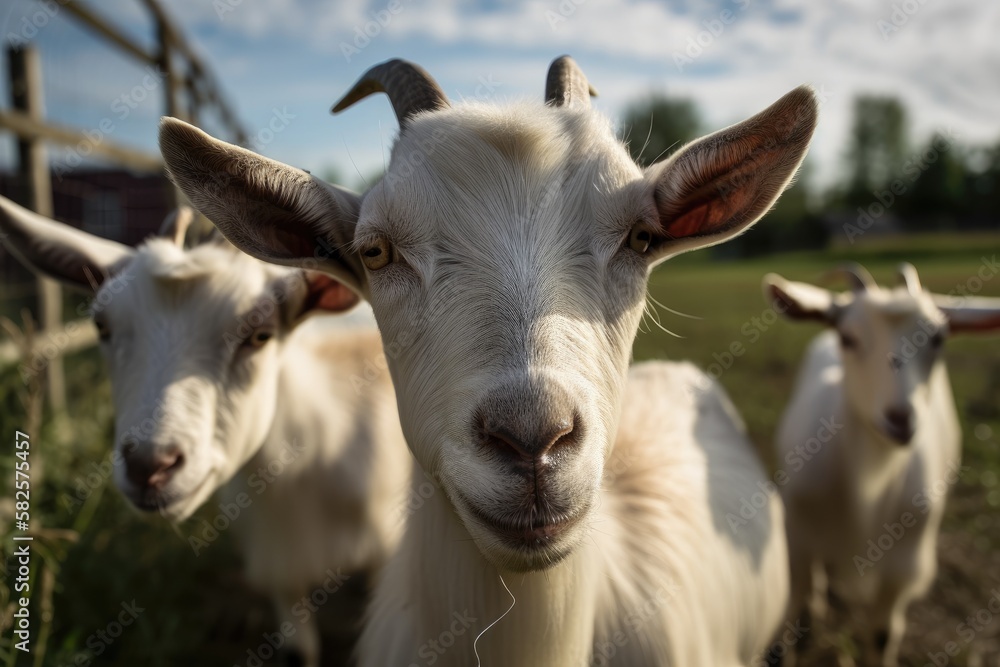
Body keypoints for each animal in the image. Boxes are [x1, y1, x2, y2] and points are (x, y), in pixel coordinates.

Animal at [763, 263, 1000, 666]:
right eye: (847, 337)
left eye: (938, 339)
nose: (900, 418)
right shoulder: (796, 541)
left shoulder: (902, 566)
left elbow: (881, 635)